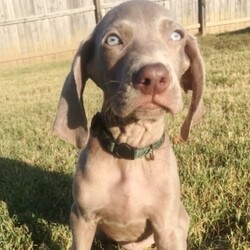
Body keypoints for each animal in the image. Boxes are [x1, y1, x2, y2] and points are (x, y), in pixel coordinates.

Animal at [52, 0, 203, 250]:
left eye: (176, 35)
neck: (130, 150)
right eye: (113, 40)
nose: (154, 77)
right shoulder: (82, 218)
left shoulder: (167, 227)